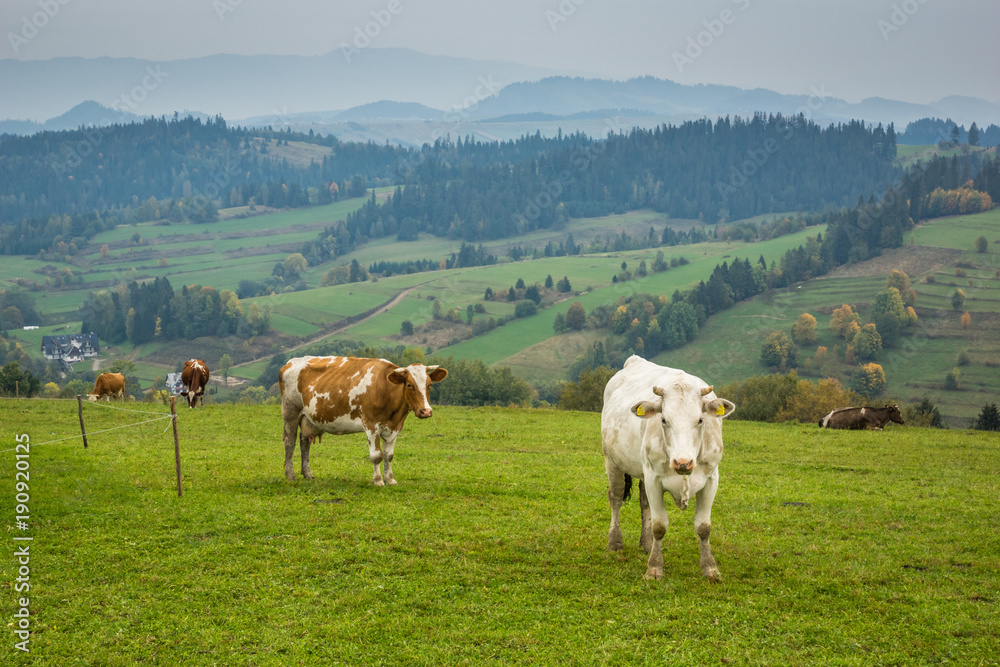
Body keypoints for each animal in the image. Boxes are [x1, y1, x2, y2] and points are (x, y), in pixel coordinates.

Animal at [279, 356, 448, 485]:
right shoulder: (371, 426)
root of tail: (291, 361)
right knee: (289, 442)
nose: (426, 411)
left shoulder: (394, 428)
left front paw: (390, 480)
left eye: (429, 385)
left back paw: (307, 473)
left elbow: (389, 455)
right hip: (290, 412)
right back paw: (290, 475)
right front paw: (378, 480)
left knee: (304, 443)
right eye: (409, 385)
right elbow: (376, 456)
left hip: (308, 419)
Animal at [601, 356, 735, 581]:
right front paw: (654, 568)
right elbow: (659, 525)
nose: (683, 463)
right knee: (616, 498)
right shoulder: (653, 478)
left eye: (700, 420)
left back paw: (646, 543)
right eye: (663, 419)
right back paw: (615, 542)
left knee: (643, 502)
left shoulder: (711, 478)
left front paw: (710, 568)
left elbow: (704, 527)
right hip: (612, 461)